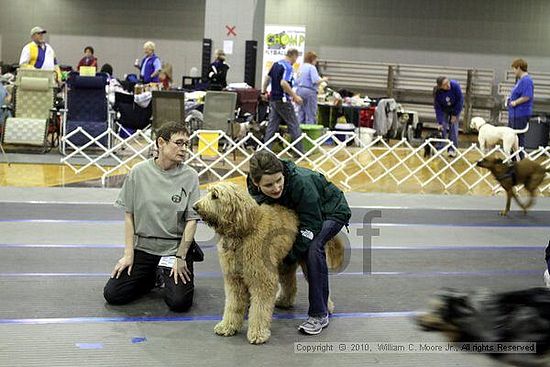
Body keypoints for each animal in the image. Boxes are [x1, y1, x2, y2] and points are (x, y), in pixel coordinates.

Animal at [194, 183, 344, 346]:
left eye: (215, 196)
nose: (195, 207)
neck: (246, 229)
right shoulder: (234, 280)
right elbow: (233, 305)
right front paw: (227, 326)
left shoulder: (263, 280)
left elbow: (259, 309)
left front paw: (258, 333)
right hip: (284, 264)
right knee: (290, 283)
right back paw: (284, 301)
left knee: (319, 283)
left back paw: (326, 309)